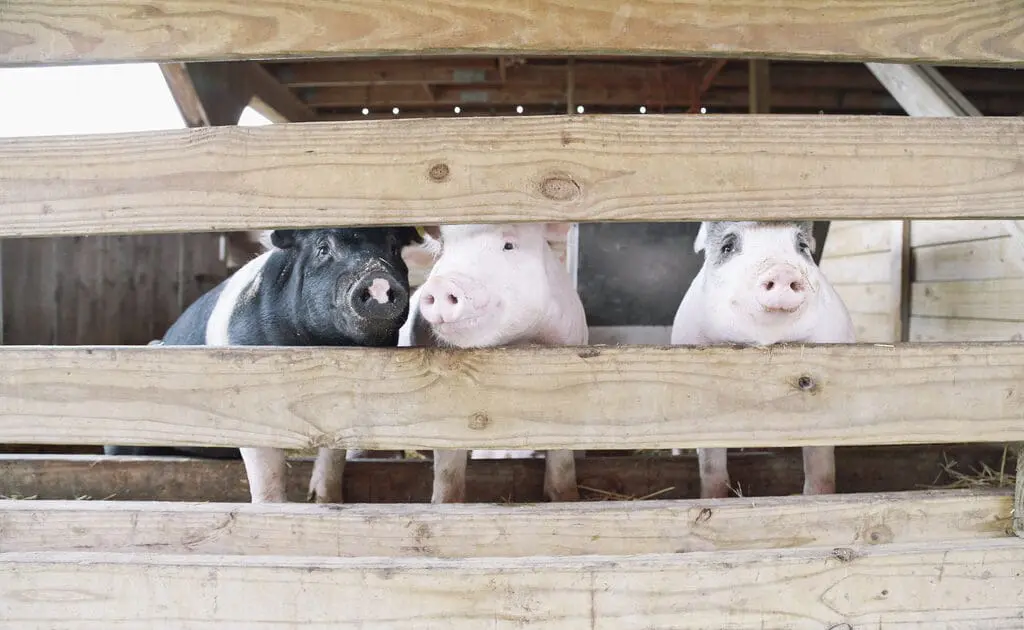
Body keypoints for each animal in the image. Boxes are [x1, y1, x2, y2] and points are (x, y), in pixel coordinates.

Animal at [104, 226, 424, 503]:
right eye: (323, 248)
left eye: (393, 248)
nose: (378, 282)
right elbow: (266, 470)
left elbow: (332, 459)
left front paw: (326, 501)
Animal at [399, 223, 588, 503]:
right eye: (443, 248)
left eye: (509, 245)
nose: (442, 284)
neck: (516, 344)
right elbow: (448, 470)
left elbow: (563, 458)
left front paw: (566, 498)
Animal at [670, 221, 855, 499]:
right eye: (727, 247)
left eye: (802, 246)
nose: (782, 270)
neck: (766, 340)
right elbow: (712, 467)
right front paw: (713, 498)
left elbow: (820, 466)